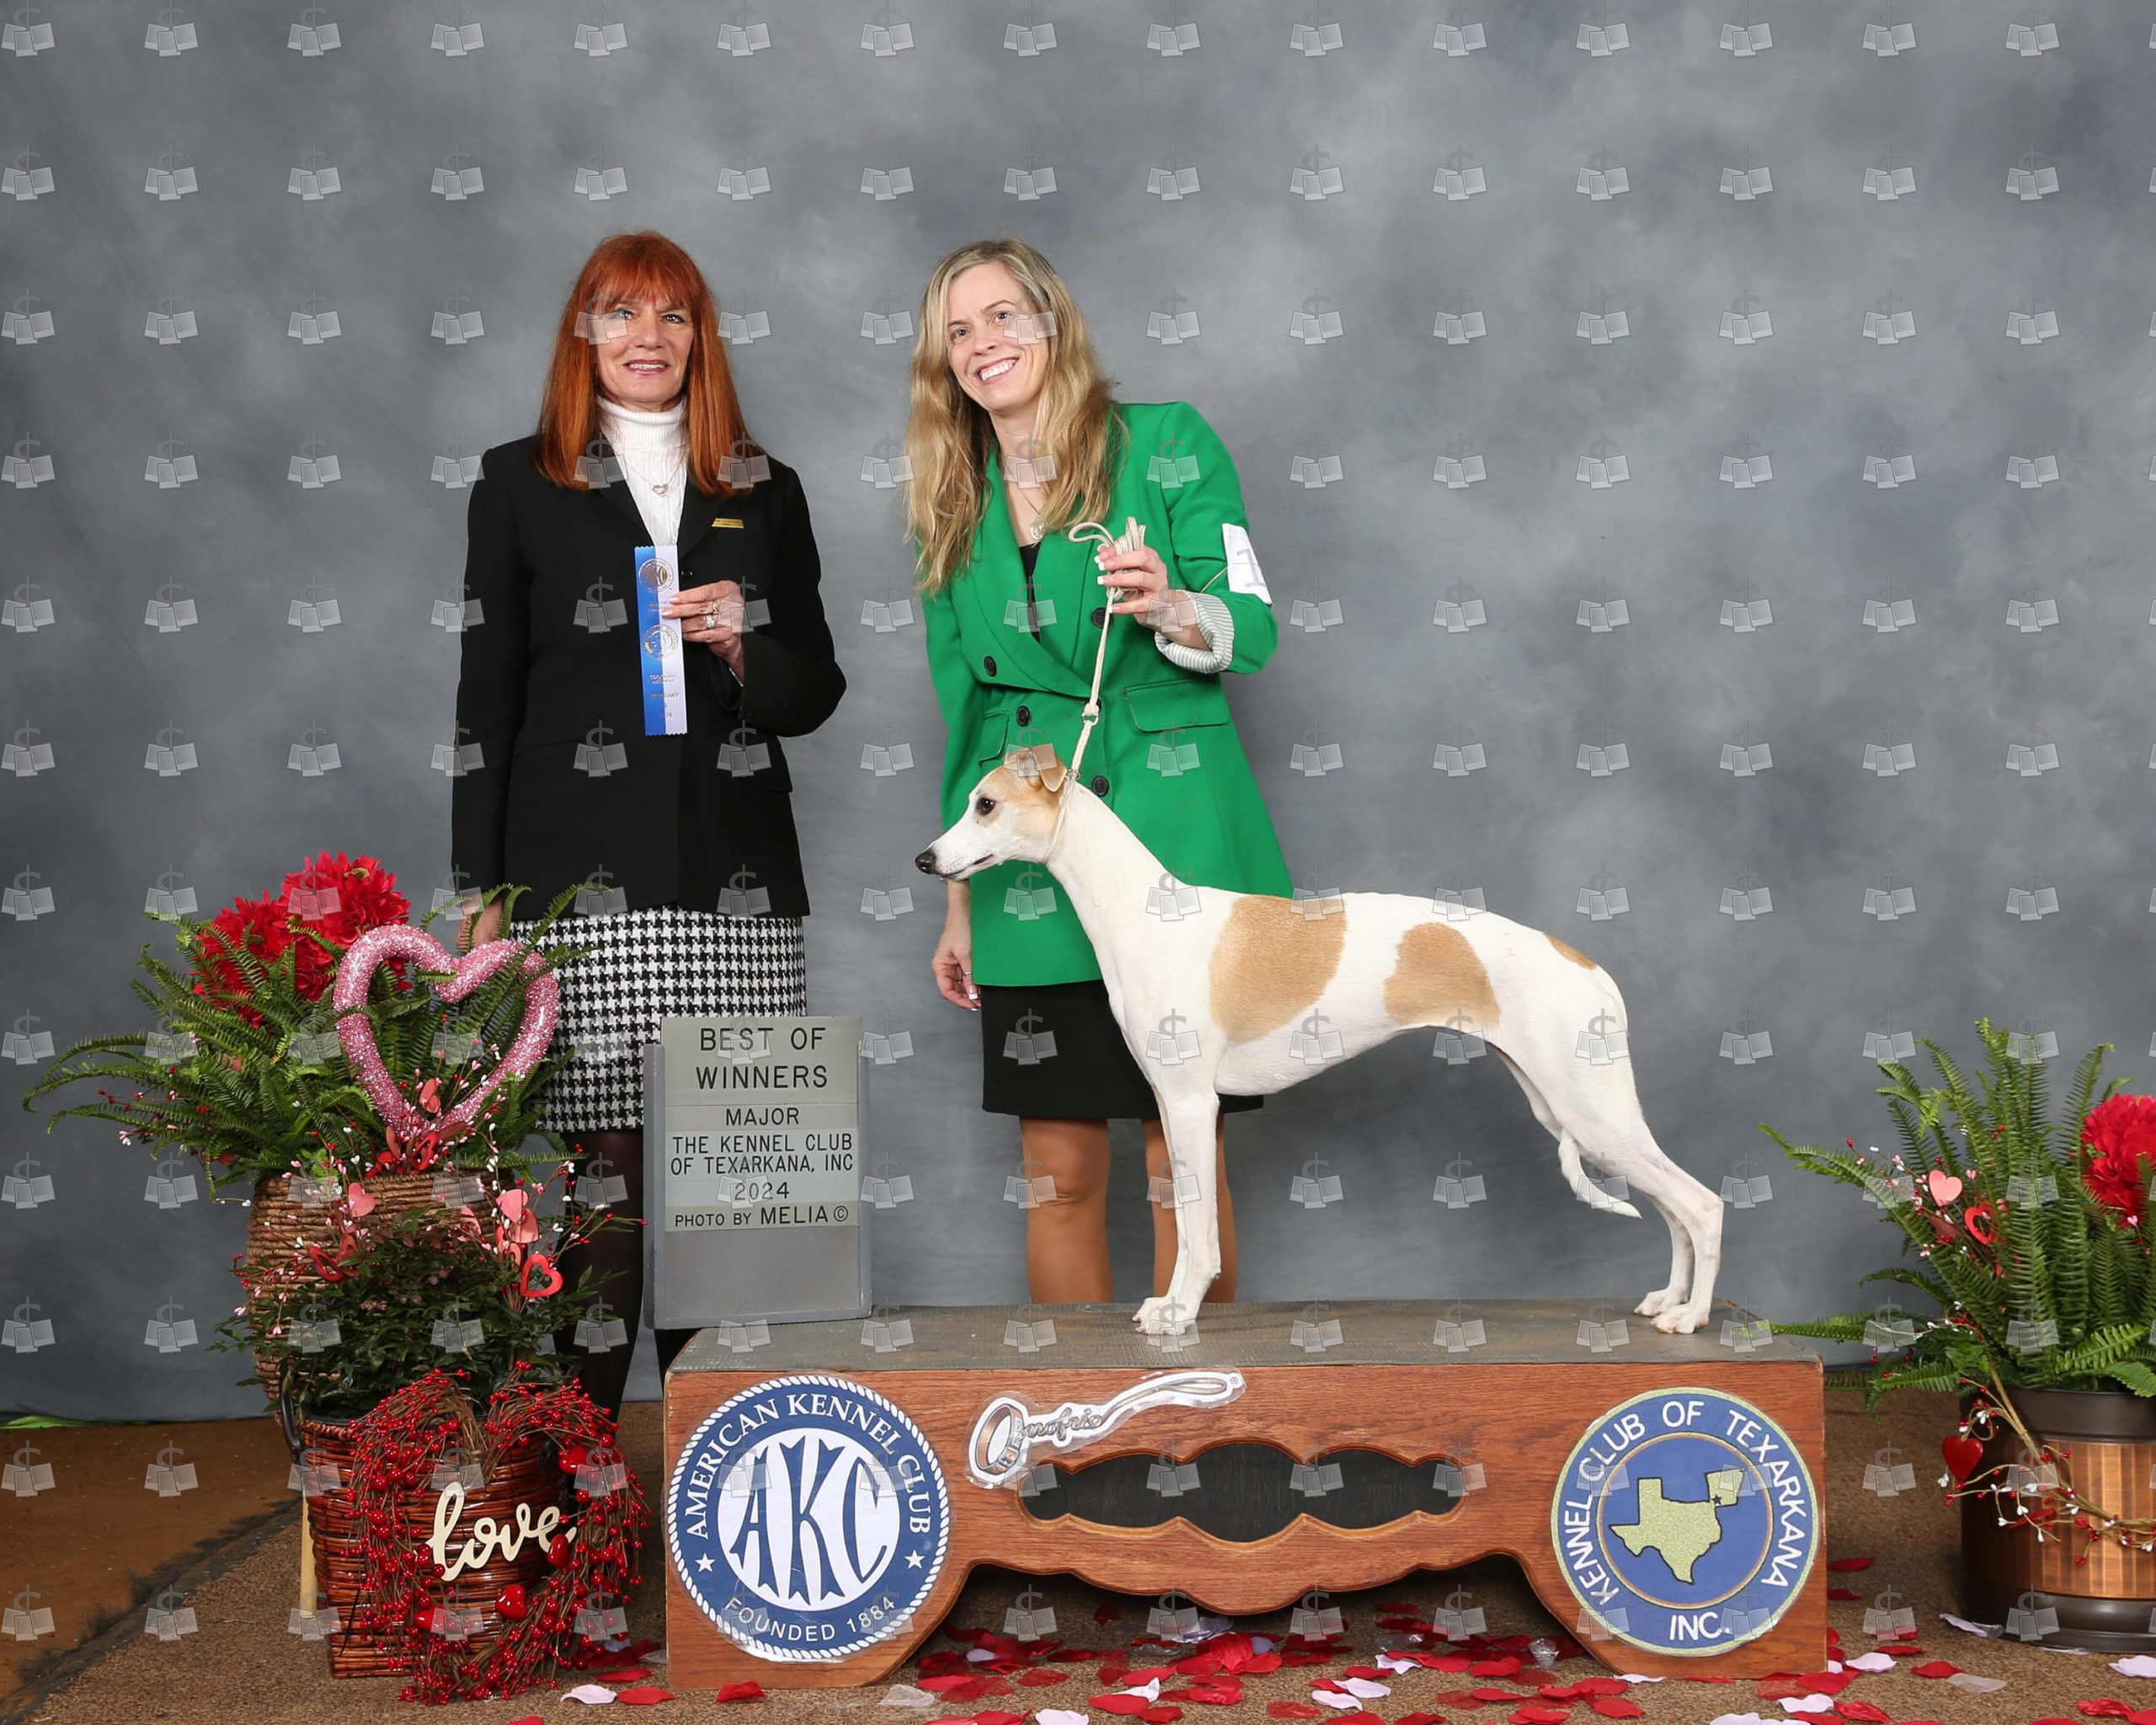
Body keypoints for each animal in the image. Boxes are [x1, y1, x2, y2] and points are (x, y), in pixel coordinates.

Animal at [916, 744, 1723, 1338]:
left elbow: (1198, 1229)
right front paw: (1171, 1307)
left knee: (1702, 1204)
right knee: (1673, 1210)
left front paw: (1180, 1312)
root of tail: (1586, 965)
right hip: (1573, 1114)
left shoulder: (1190, 1104)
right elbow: (1188, 1219)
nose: (926, 861)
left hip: (1592, 1114)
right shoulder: (1173, 1106)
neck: (1145, 912)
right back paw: (1667, 1301)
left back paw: (1692, 1317)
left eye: (986, 804)